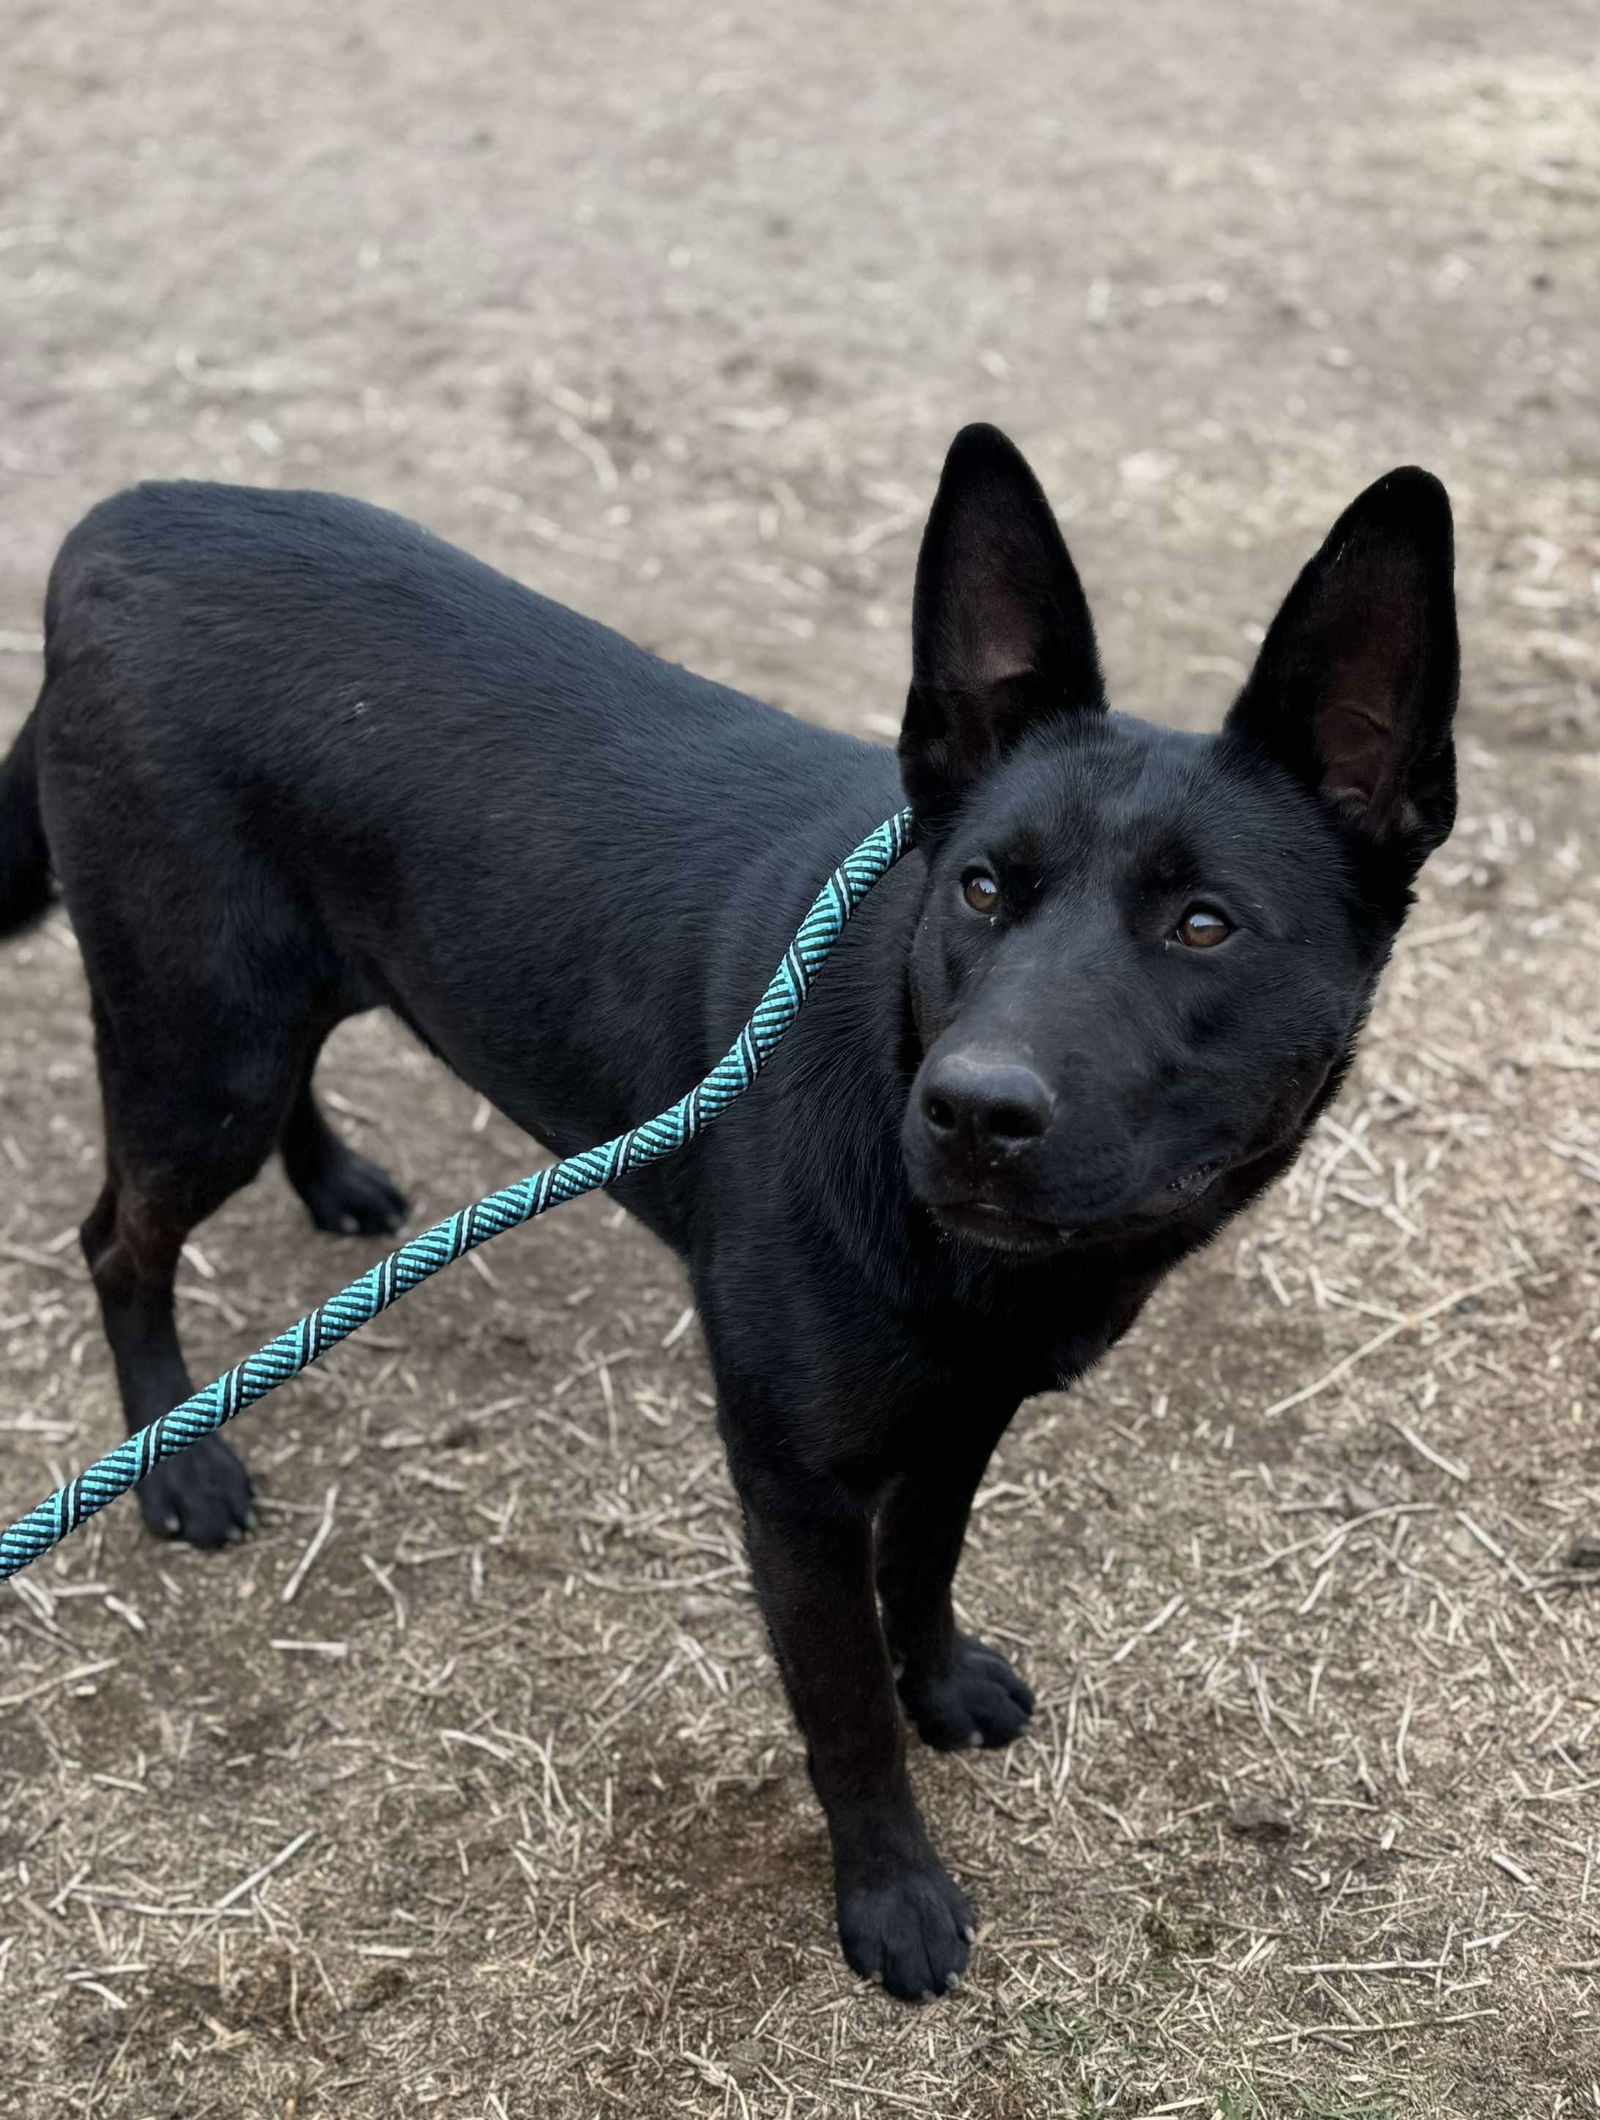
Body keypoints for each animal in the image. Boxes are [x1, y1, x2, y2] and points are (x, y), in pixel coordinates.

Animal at [0, 430, 1449, 2001]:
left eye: (1205, 925)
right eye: (981, 888)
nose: (971, 1110)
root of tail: (116, 524)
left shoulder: (961, 1413)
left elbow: (925, 1567)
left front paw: (942, 1682)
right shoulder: (793, 1487)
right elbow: (845, 1714)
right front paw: (893, 1897)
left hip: (280, 1000)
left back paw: (331, 1183)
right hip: (202, 1041)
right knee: (118, 1238)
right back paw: (178, 1459)